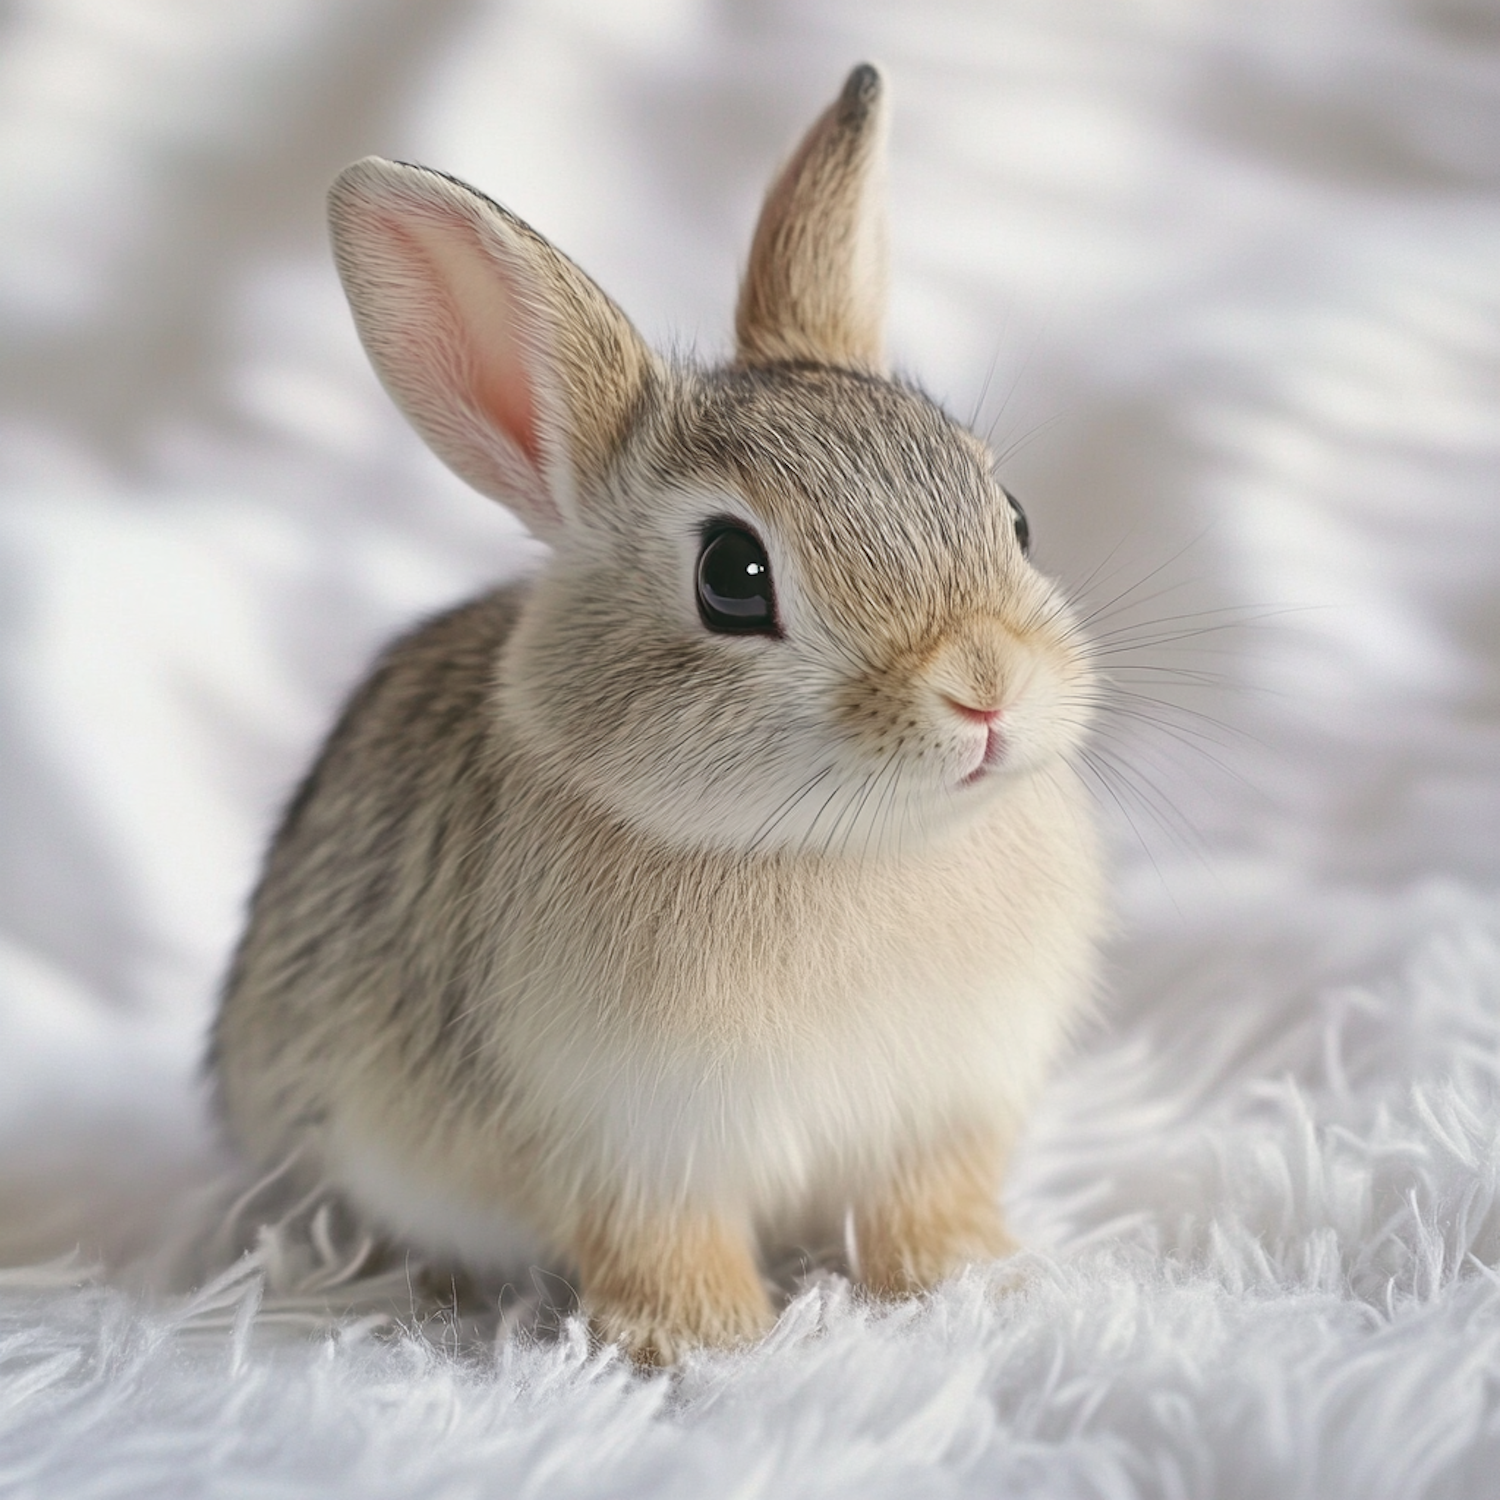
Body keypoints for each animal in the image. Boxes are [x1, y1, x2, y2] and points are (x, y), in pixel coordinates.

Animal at [211, 64, 1104, 1368]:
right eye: (732, 576)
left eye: (1017, 516)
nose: (985, 688)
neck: (844, 850)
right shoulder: (636, 1143)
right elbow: (664, 1248)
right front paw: (713, 1347)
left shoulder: (941, 1113)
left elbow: (924, 1213)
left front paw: (975, 1283)